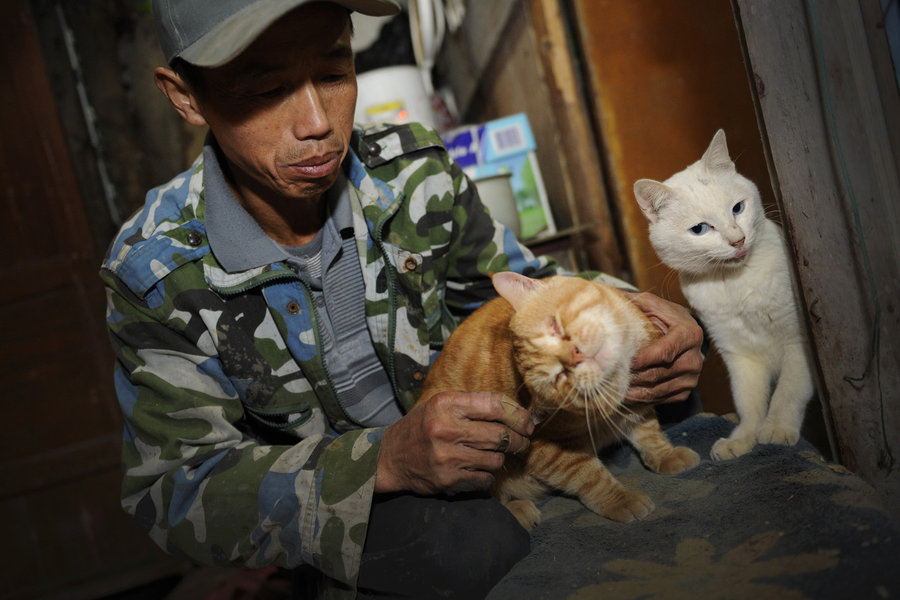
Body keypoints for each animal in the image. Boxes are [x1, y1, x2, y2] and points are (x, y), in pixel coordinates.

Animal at [418, 274, 700, 528]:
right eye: (559, 376)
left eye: (554, 326)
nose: (574, 356)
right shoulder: (551, 448)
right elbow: (590, 476)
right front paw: (621, 500)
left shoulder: (638, 402)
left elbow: (648, 431)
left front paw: (666, 455)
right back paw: (518, 510)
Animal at [632, 130, 816, 460]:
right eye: (700, 229)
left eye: (737, 209)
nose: (737, 240)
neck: (734, 283)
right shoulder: (739, 353)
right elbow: (748, 402)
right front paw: (742, 439)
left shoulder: (798, 341)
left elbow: (788, 390)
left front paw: (777, 428)